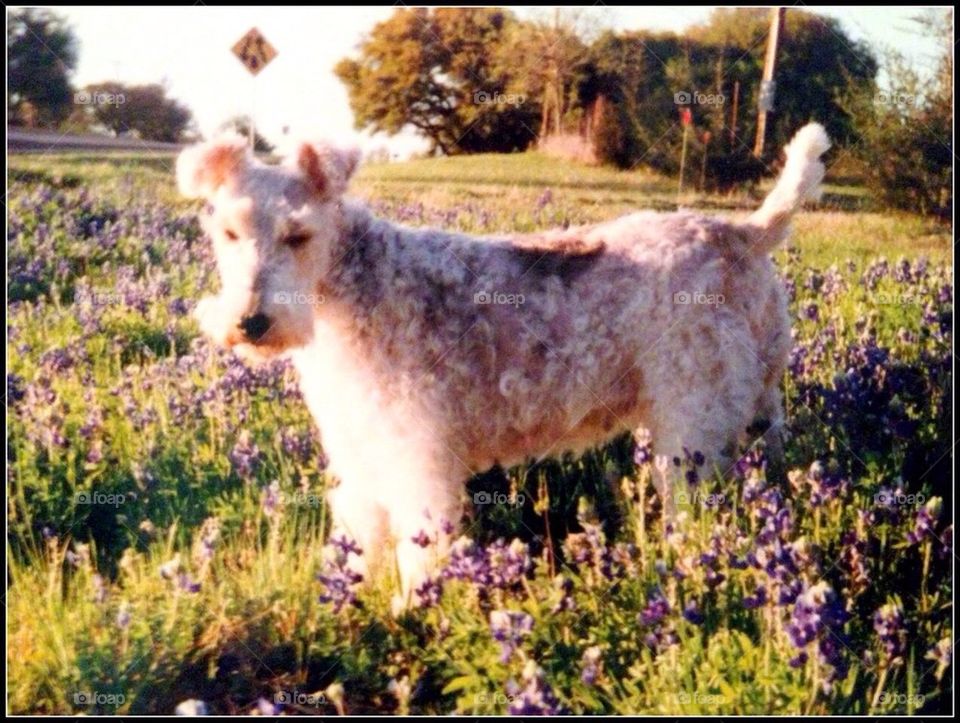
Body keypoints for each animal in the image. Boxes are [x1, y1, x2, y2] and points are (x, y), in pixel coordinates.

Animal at [180, 124, 832, 604]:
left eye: (298, 235)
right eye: (229, 231)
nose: (251, 322)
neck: (352, 289)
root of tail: (742, 232)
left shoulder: (419, 456)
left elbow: (421, 549)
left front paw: (414, 611)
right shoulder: (361, 450)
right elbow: (360, 534)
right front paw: (349, 596)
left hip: (691, 424)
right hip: (753, 403)